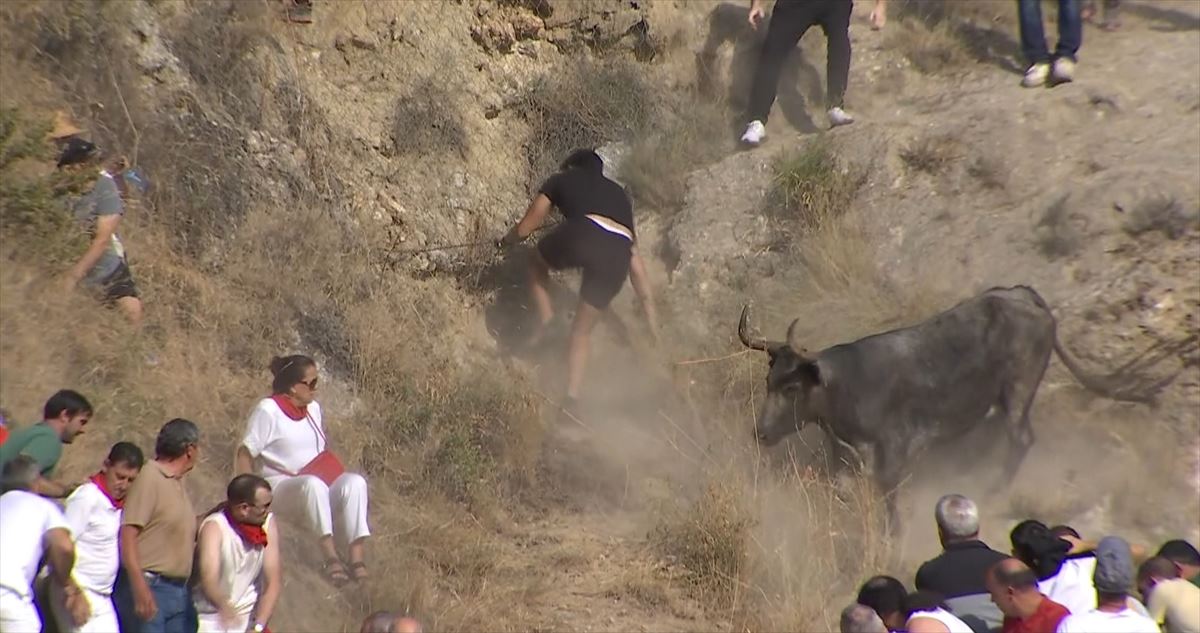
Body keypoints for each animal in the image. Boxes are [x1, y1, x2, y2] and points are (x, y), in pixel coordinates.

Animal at [739, 284, 1171, 532]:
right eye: (769, 382)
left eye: (792, 387)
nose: (761, 432)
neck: (848, 385)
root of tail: (1021, 296)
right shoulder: (843, 458)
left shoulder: (895, 454)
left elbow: (891, 505)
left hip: (1018, 390)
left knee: (1021, 438)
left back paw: (993, 491)